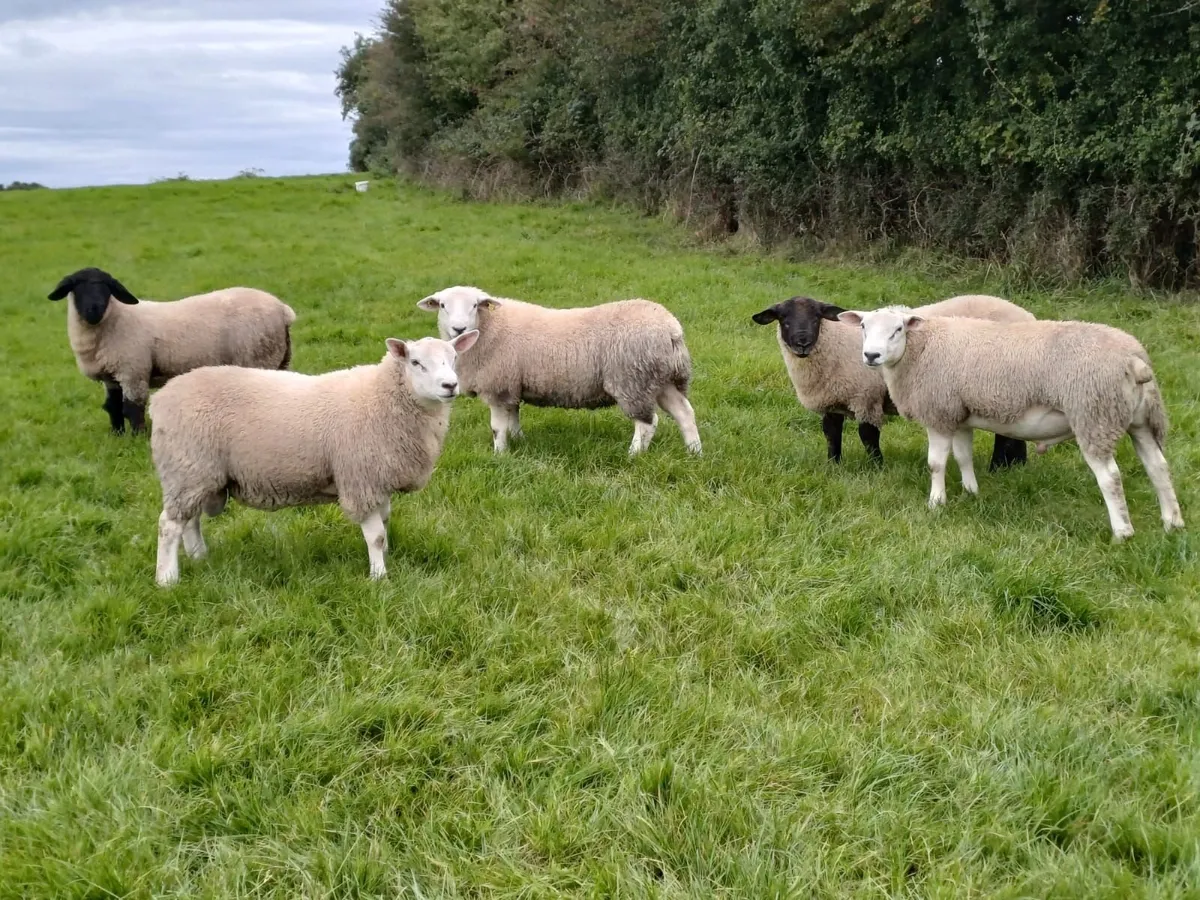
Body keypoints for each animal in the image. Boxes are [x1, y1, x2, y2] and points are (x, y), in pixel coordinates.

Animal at [48, 267, 296, 434]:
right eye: (76, 287)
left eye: (107, 287)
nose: (94, 309)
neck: (115, 319)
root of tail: (283, 310)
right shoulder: (112, 376)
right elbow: (113, 407)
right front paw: (117, 435)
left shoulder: (133, 371)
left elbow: (132, 408)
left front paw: (137, 438)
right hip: (277, 359)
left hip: (259, 356)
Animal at [148, 330, 479, 585]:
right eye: (416, 362)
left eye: (453, 359)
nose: (450, 385)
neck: (382, 397)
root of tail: (160, 398)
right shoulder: (359, 480)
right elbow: (375, 535)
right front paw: (379, 577)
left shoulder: (378, 480)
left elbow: (385, 527)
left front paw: (384, 560)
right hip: (188, 467)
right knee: (169, 525)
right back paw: (167, 579)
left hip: (198, 475)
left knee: (190, 521)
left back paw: (200, 558)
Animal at [417, 285, 701, 455]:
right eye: (443, 305)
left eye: (475, 305)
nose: (459, 329)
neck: (488, 329)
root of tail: (672, 329)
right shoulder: (512, 385)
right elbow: (514, 418)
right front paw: (518, 441)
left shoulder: (497, 386)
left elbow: (498, 427)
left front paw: (499, 455)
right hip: (662, 379)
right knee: (685, 413)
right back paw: (695, 452)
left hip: (633, 379)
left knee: (647, 423)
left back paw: (633, 455)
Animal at [750, 293, 1034, 468]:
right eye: (784, 319)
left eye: (816, 317)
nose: (802, 342)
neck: (834, 343)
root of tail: (1028, 316)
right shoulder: (833, 399)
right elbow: (831, 434)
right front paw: (833, 465)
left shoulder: (866, 396)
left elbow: (868, 435)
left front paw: (877, 466)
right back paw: (1015, 466)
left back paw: (998, 467)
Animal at [836, 306, 1184, 540]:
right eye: (863, 326)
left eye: (897, 329)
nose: (871, 355)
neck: (920, 349)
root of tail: (1135, 360)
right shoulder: (960, 415)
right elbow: (963, 457)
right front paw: (971, 492)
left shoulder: (939, 413)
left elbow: (936, 463)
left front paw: (936, 503)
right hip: (1140, 420)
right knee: (1158, 467)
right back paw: (1172, 523)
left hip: (1093, 415)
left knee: (1110, 478)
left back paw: (1122, 532)